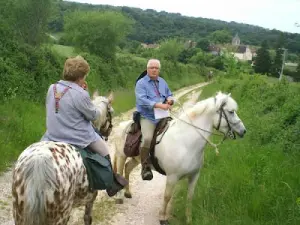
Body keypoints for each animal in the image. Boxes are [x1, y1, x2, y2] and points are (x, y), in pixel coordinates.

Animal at [11, 91, 113, 225]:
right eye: (111, 112)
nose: (109, 131)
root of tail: (38, 163)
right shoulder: (90, 199)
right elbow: (87, 218)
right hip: (61, 216)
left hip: (20, 215)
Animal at [112, 90, 246, 224]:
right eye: (231, 111)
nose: (243, 131)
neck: (185, 143)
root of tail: (120, 126)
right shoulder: (172, 177)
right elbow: (167, 197)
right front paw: (162, 218)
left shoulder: (194, 176)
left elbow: (190, 197)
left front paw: (189, 219)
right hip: (121, 156)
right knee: (119, 173)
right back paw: (119, 198)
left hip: (136, 159)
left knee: (127, 168)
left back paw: (128, 193)